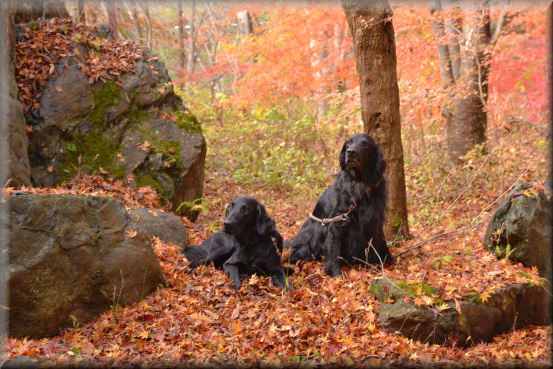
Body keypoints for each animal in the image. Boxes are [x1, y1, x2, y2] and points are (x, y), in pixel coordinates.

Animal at [286, 133, 390, 276]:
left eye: (365, 144)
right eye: (348, 143)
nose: (350, 152)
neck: (359, 182)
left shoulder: (375, 217)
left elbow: (380, 240)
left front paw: (386, 262)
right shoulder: (338, 221)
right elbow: (334, 251)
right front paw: (336, 274)